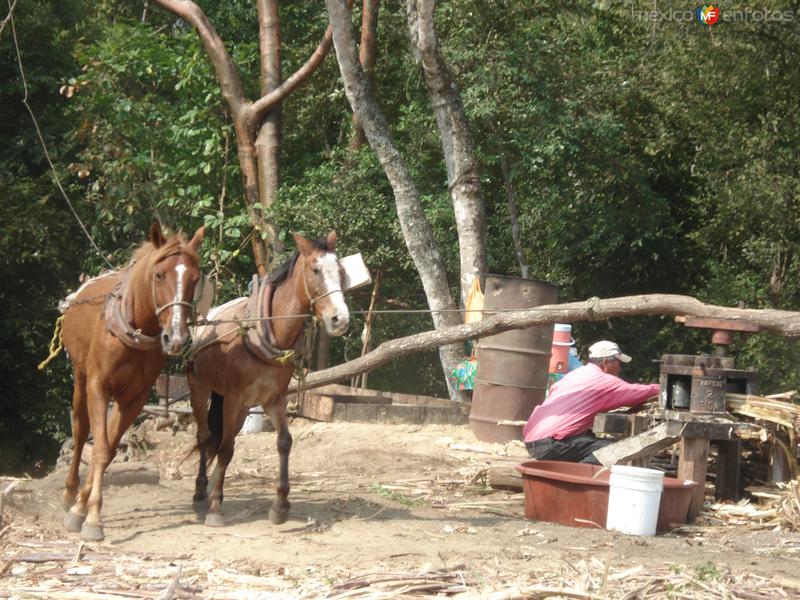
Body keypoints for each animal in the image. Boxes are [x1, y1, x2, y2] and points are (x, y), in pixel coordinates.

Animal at [63, 223, 206, 540]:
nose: (177, 338)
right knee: (79, 433)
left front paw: (85, 507)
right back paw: (68, 493)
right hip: (80, 378)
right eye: (159, 275)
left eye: (195, 278)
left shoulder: (135, 398)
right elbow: (98, 447)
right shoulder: (98, 387)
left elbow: (108, 450)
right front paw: (89, 516)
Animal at [189, 232, 352, 528]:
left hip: (242, 408)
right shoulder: (232, 399)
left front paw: (281, 506)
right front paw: (216, 508)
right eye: (315, 270)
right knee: (206, 437)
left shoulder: (273, 399)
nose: (340, 319)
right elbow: (226, 450)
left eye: (341, 271)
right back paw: (201, 493)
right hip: (201, 389)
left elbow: (284, 442)